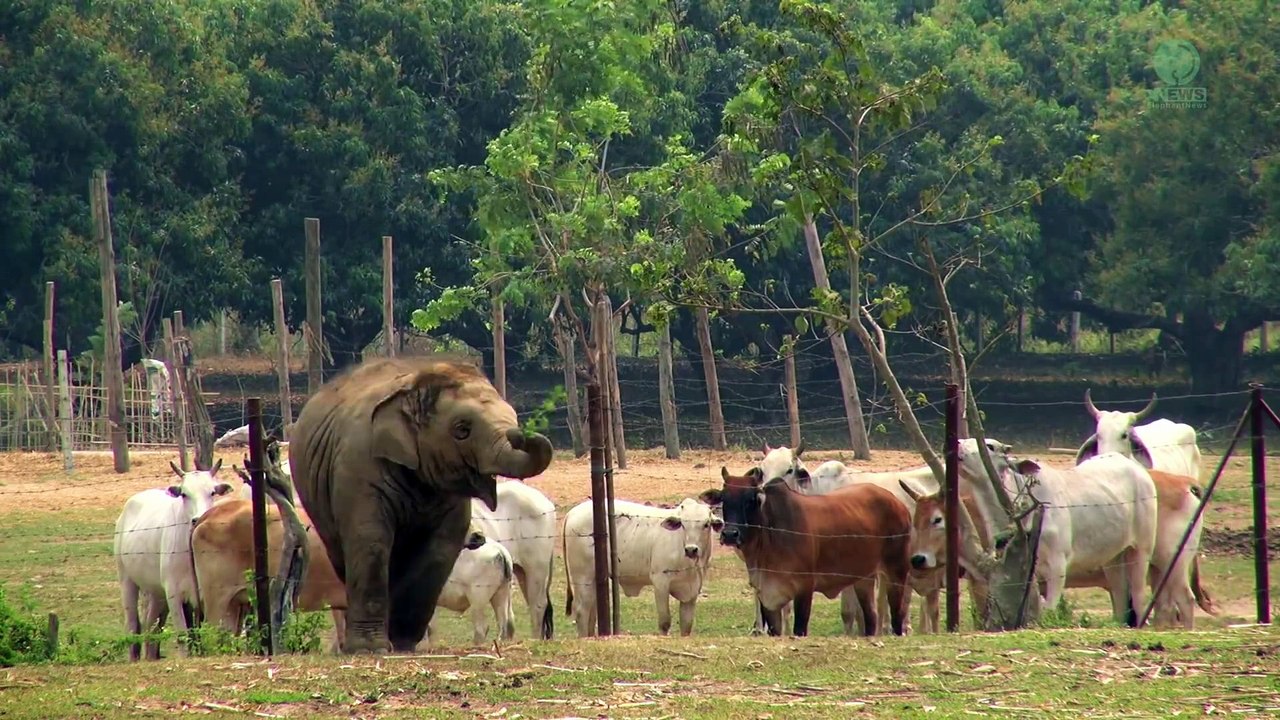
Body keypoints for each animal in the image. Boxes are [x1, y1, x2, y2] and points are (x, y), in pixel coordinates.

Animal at [114, 460, 235, 661]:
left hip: (156, 592)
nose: (197, 519)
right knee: (133, 625)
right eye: (184, 494)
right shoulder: (174, 592)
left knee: (152, 626)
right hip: (127, 581)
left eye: (212, 492)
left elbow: (197, 634)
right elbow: (183, 634)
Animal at [562, 497, 721, 637]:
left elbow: (686, 625)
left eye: (706, 524)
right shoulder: (660, 582)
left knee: (592, 612)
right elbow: (664, 622)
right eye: (683, 524)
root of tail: (572, 513)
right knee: (581, 611)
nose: (691, 549)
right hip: (583, 577)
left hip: (595, 579)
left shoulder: (692, 590)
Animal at [702, 467, 912, 637]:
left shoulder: (804, 587)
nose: (730, 534)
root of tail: (897, 503)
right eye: (723, 499)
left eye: (751, 499)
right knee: (870, 616)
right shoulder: (767, 595)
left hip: (896, 570)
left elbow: (799, 628)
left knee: (897, 612)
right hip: (864, 578)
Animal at [953, 444, 1158, 627]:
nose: (958, 444)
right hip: (1113, 558)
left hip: (1142, 548)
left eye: (990, 446)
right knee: (1120, 593)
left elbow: (1049, 608)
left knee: (1138, 593)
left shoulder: (1057, 563)